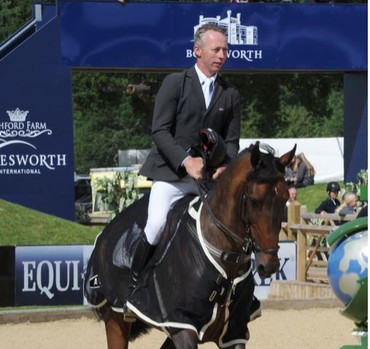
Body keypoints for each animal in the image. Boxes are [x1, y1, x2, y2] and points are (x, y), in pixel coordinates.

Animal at [84, 141, 294, 348]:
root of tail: (104, 235)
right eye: (255, 200)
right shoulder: (182, 325)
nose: (269, 265)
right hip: (115, 317)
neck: (225, 253)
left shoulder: (234, 331)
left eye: (285, 198)